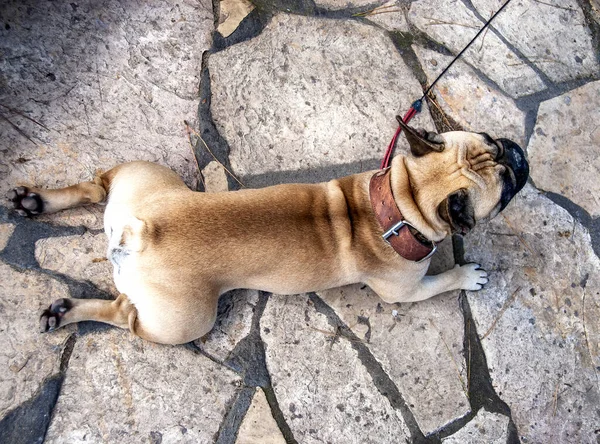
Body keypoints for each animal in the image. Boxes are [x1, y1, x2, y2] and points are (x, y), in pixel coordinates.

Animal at [5, 119, 528, 346]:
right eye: (504, 187)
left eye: (493, 141)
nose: (517, 152)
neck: (401, 200)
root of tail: (138, 232)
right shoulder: (405, 291)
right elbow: (440, 281)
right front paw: (466, 275)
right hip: (184, 322)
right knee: (124, 315)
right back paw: (70, 310)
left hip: (142, 176)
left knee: (96, 185)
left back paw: (38, 206)